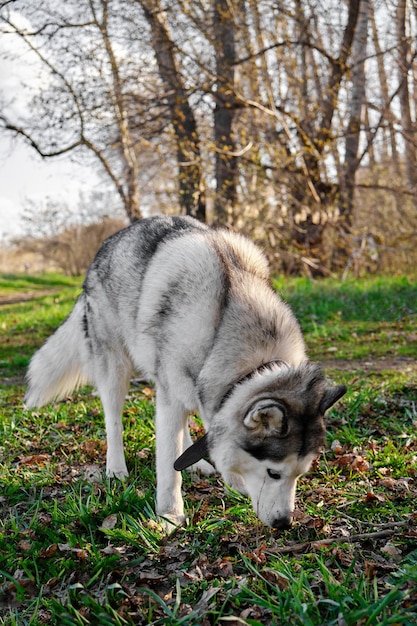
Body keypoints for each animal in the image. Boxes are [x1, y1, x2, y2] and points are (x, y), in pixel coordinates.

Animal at [24, 214, 346, 528]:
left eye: (299, 474)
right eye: (274, 473)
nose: (284, 523)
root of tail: (106, 244)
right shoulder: (173, 398)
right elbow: (168, 466)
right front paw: (170, 515)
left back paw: (197, 463)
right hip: (116, 368)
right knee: (114, 420)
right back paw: (116, 468)